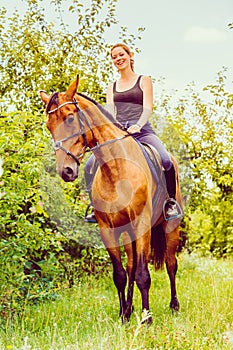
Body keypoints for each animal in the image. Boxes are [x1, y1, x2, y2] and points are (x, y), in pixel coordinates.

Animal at [39, 75, 182, 324]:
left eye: (69, 118)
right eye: (49, 126)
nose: (66, 171)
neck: (116, 168)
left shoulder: (142, 225)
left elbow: (143, 275)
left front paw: (147, 319)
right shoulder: (107, 229)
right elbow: (121, 274)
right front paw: (124, 314)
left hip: (169, 227)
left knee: (170, 264)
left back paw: (174, 306)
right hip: (127, 233)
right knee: (131, 265)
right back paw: (131, 307)